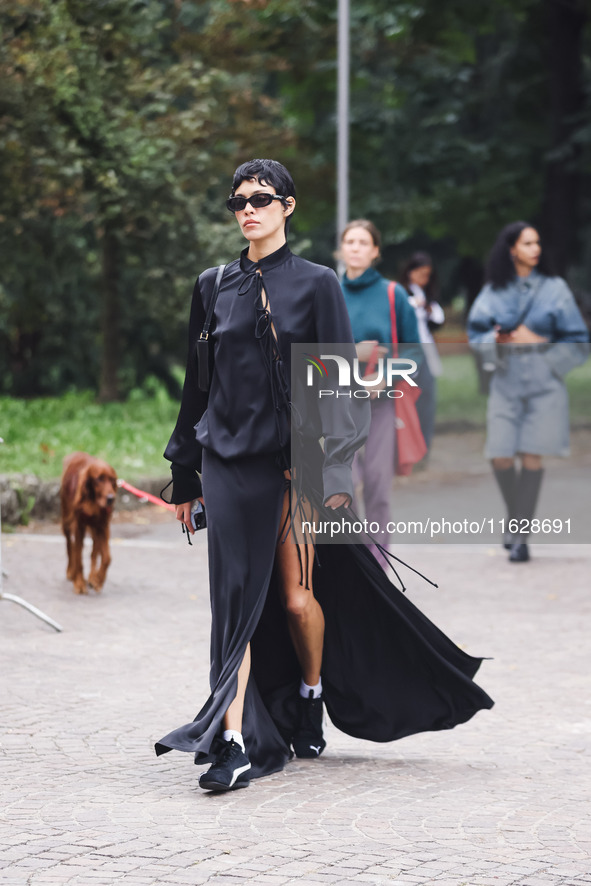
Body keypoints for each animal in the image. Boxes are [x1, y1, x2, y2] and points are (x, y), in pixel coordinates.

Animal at [60, 450, 118, 596]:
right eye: (99, 479)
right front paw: (79, 583)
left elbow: (106, 558)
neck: (93, 501)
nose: (111, 499)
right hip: (66, 520)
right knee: (69, 544)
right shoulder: (78, 526)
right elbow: (78, 557)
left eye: (112, 480)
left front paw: (98, 580)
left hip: (95, 528)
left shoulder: (103, 526)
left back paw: (92, 577)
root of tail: (77, 453)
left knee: (94, 552)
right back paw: (71, 571)